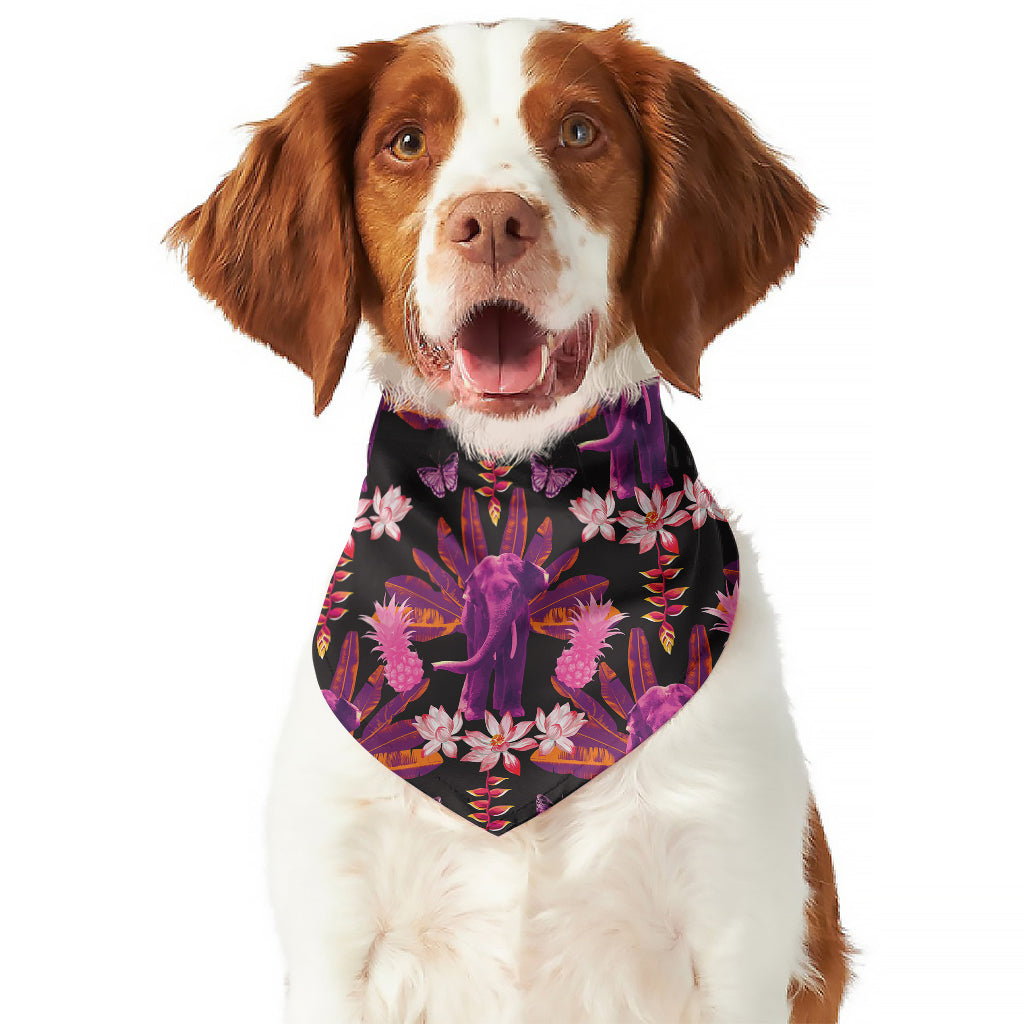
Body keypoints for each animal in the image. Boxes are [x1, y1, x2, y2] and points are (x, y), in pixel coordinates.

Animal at [433, 553, 550, 720]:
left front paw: (515, 714)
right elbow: (483, 650)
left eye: (516, 591)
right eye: (483, 594)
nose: (433, 666)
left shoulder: (523, 613)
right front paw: (474, 717)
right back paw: (464, 708)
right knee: (473, 652)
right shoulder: (479, 613)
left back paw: (499, 708)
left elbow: (517, 654)